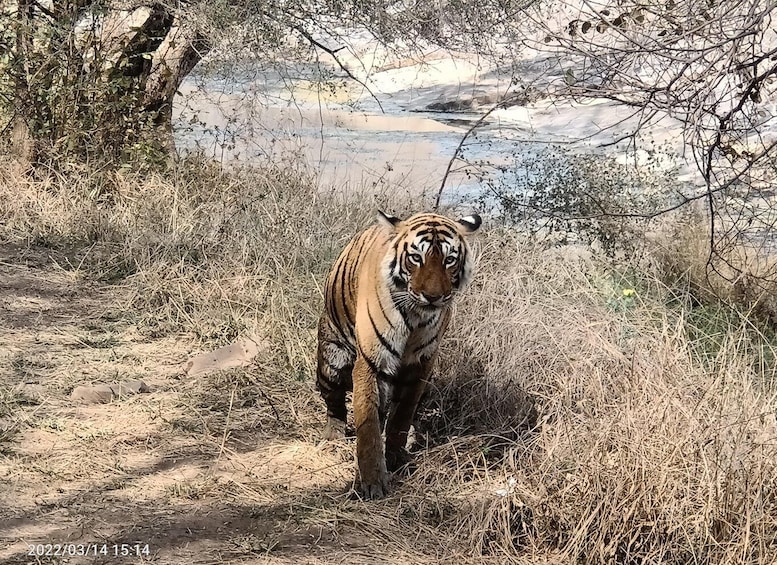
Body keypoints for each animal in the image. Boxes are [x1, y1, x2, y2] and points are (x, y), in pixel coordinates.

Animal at [314, 210, 478, 498]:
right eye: (416, 257)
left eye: (449, 260)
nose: (432, 297)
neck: (415, 317)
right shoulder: (371, 361)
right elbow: (367, 423)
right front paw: (372, 482)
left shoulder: (420, 367)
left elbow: (401, 416)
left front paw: (397, 458)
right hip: (331, 361)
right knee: (335, 404)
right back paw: (333, 437)